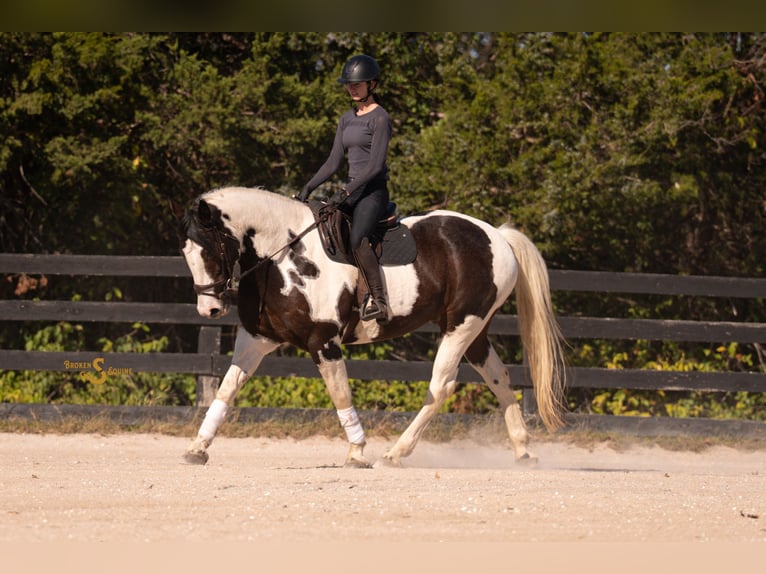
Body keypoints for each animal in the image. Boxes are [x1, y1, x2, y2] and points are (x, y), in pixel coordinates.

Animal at [179, 186, 567, 467]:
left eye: (209, 251)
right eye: (186, 253)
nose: (209, 309)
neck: (284, 255)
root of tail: (496, 236)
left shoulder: (323, 341)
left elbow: (340, 394)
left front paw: (357, 452)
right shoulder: (257, 339)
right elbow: (226, 389)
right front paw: (197, 448)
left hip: (462, 326)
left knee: (441, 386)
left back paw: (396, 453)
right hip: (475, 332)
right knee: (499, 377)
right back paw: (523, 450)